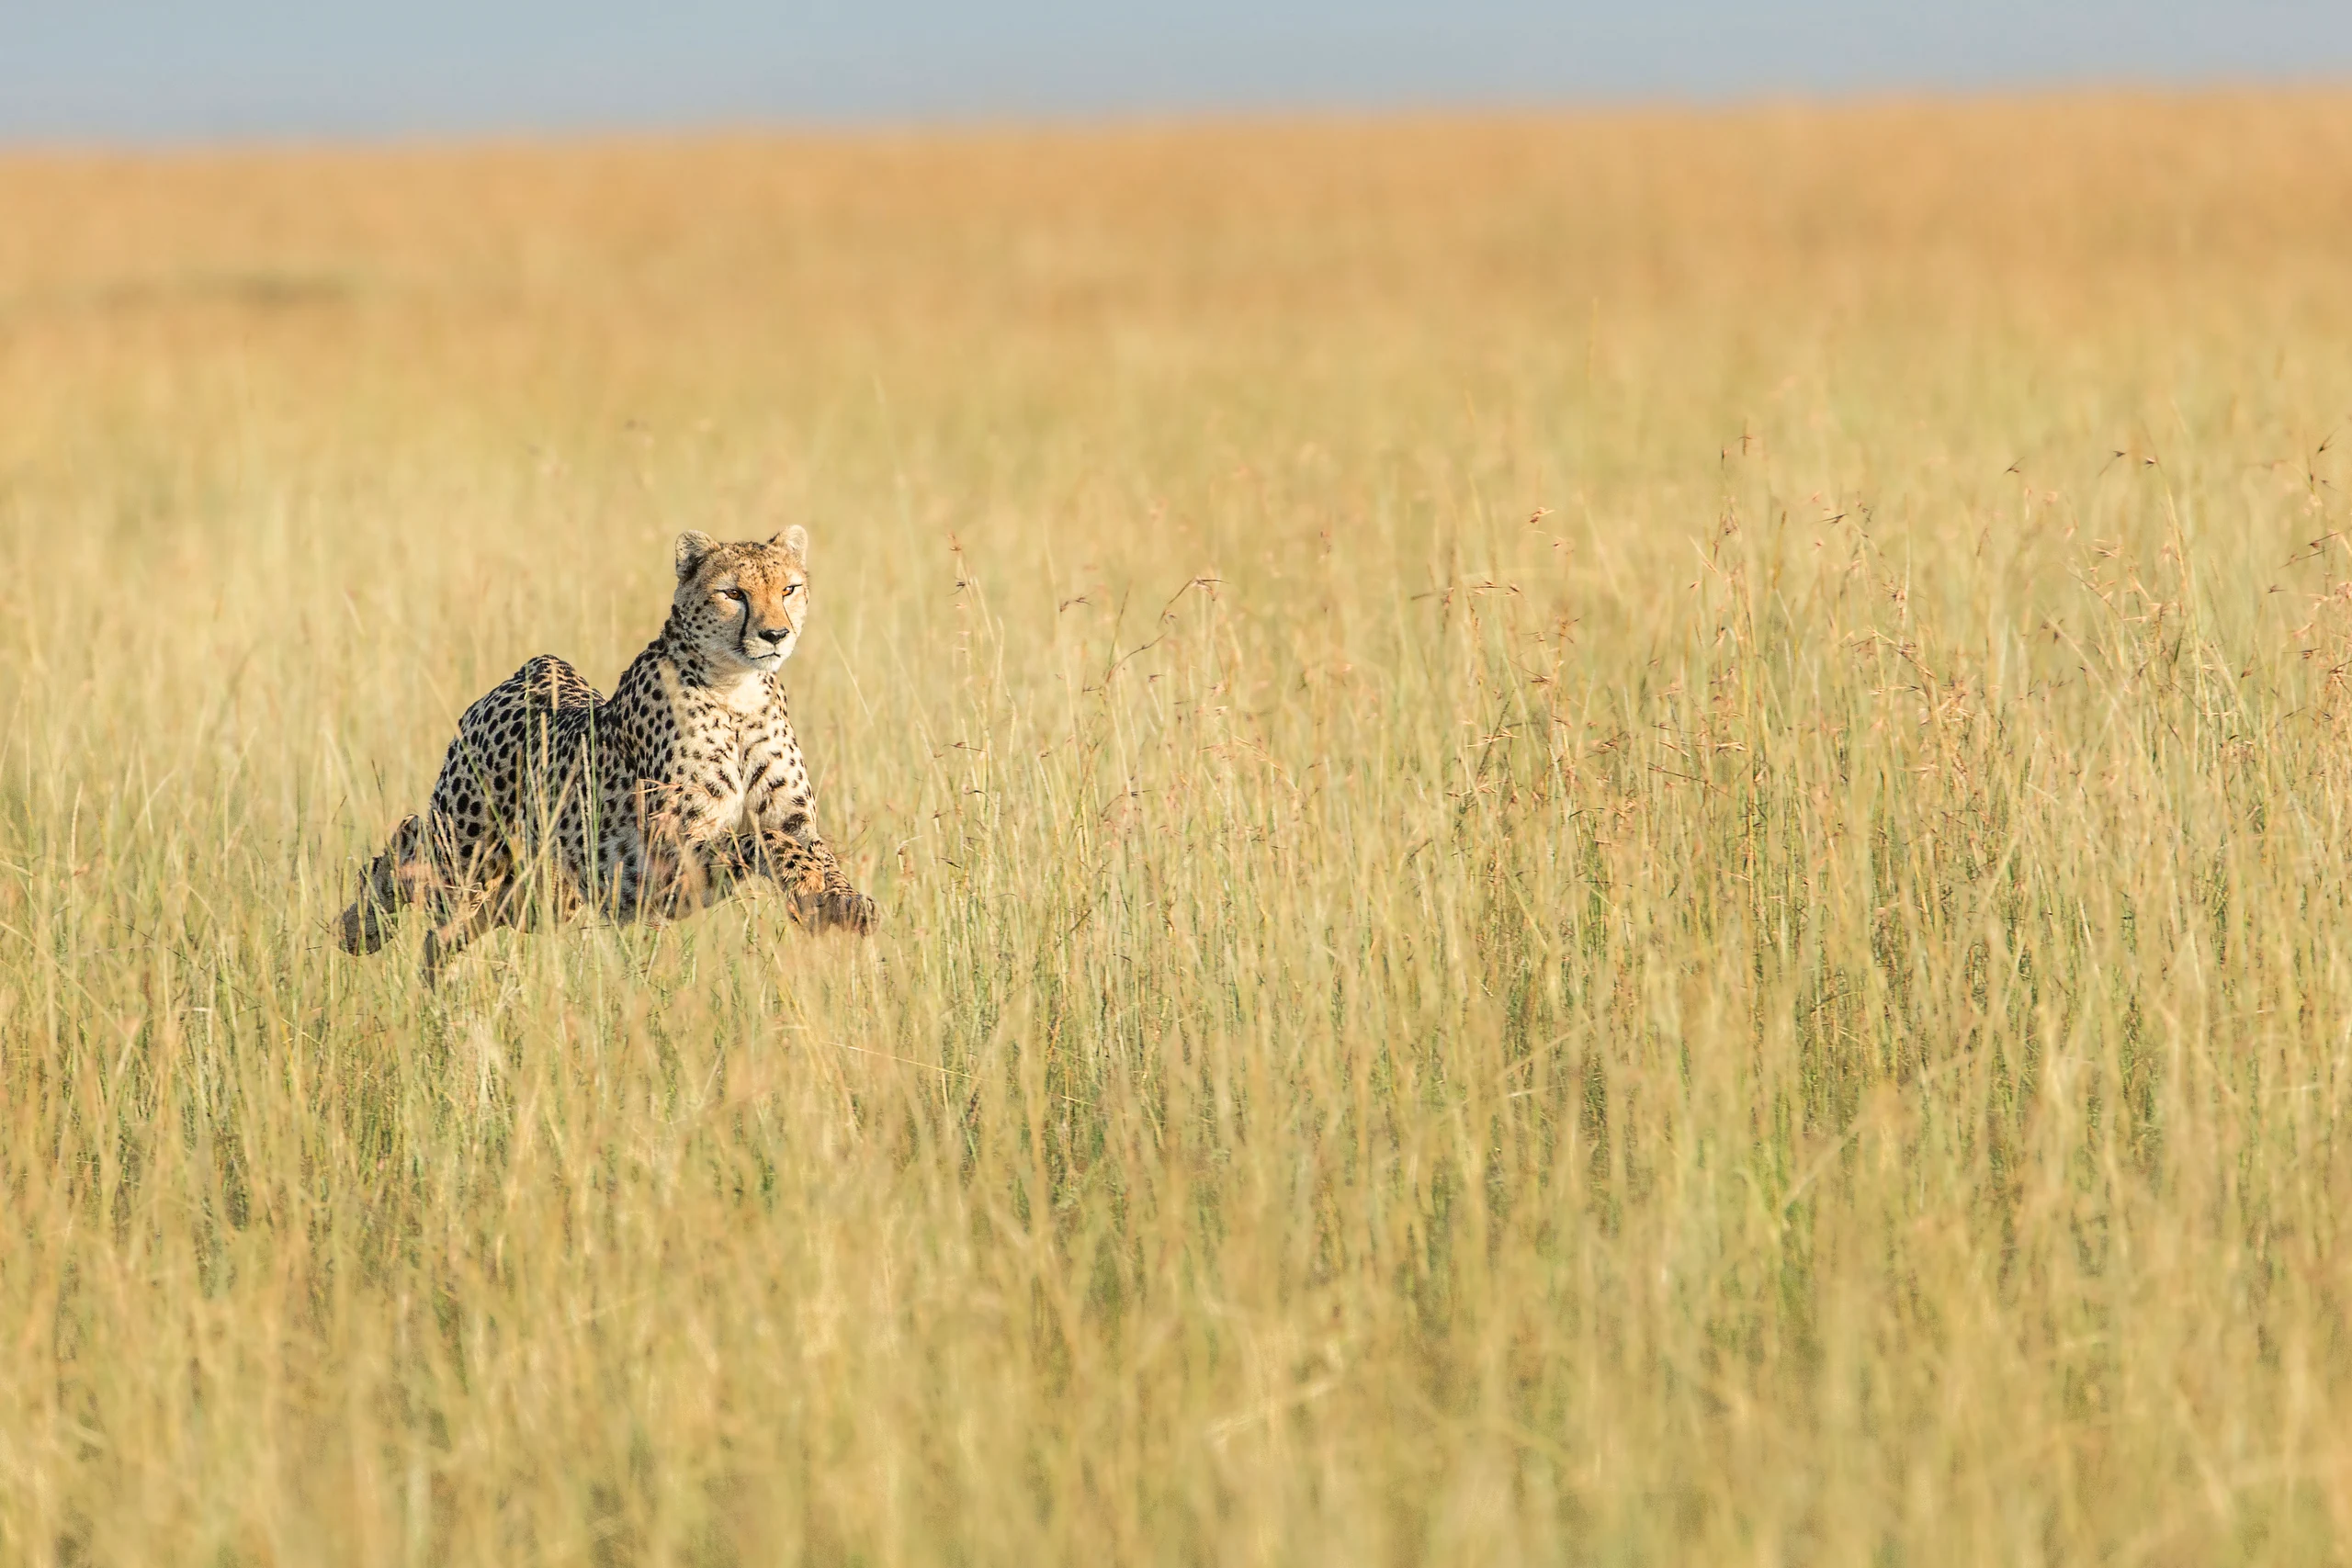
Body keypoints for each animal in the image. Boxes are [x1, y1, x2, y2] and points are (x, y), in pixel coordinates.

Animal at [337, 525, 874, 981]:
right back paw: (360, 928)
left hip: (549, 892)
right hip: (468, 848)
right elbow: (761, 842)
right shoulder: (669, 860)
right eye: (733, 594)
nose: (775, 635)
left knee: (463, 920)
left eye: (788, 589)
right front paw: (809, 885)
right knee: (413, 843)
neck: (736, 692)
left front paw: (841, 902)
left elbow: (814, 850)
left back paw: (432, 971)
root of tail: (539, 666)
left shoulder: (790, 818)